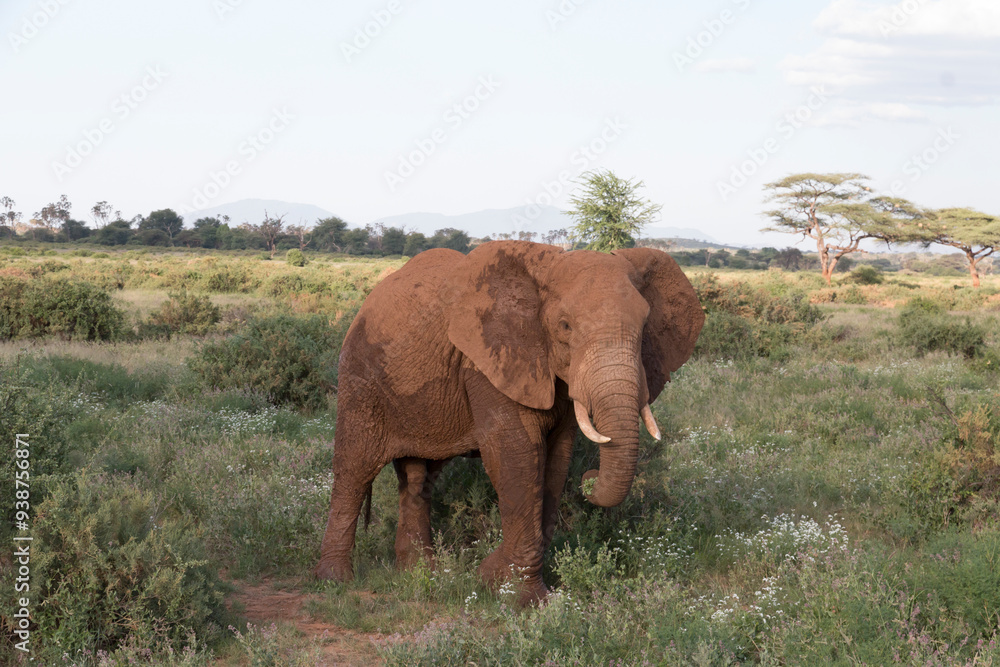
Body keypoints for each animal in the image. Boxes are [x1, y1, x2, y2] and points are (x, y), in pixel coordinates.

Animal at [314, 240, 704, 605]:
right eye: (564, 326)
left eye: (645, 327)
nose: (590, 479)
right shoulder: (487, 361)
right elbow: (516, 453)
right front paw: (522, 598)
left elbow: (556, 459)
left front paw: (495, 579)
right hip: (360, 379)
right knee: (354, 468)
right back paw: (335, 582)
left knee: (418, 475)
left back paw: (419, 574)